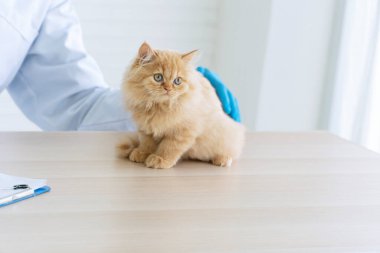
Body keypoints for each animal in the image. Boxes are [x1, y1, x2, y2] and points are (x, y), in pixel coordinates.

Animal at [117, 42, 245, 169]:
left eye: (177, 81)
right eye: (158, 77)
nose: (168, 89)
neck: (159, 107)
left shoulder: (182, 132)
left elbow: (168, 147)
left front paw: (160, 159)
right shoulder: (146, 129)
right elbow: (146, 143)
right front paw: (142, 153)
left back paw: (223, 159)